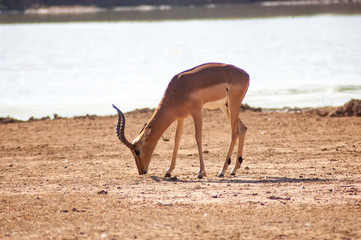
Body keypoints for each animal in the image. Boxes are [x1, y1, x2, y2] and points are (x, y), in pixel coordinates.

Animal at [112, 62, 248, 179]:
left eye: (137, 151)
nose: (141, 171)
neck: (179, 88)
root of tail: (246, 75)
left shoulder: (197, 111)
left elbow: (198, 138)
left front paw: (201, 172)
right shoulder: (181, 117)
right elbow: (177, 139)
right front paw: (168, 171)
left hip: (233, 104)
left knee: (234, 132)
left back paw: (222, 171)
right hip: (224, 106)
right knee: (243, 128)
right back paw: (234, 170)